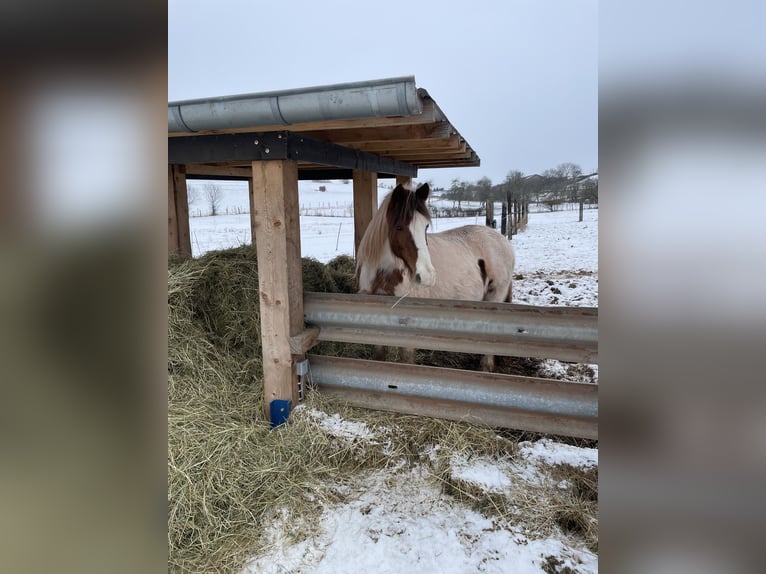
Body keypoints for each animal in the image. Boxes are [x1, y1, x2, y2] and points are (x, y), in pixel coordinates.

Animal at [358, 183, 516, 374]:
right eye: (399, 227)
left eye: (426, 227)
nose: (427, 276)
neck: (386, 274)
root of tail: (504, 241)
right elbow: (379, 356)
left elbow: (406, 359)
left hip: (495, 297)